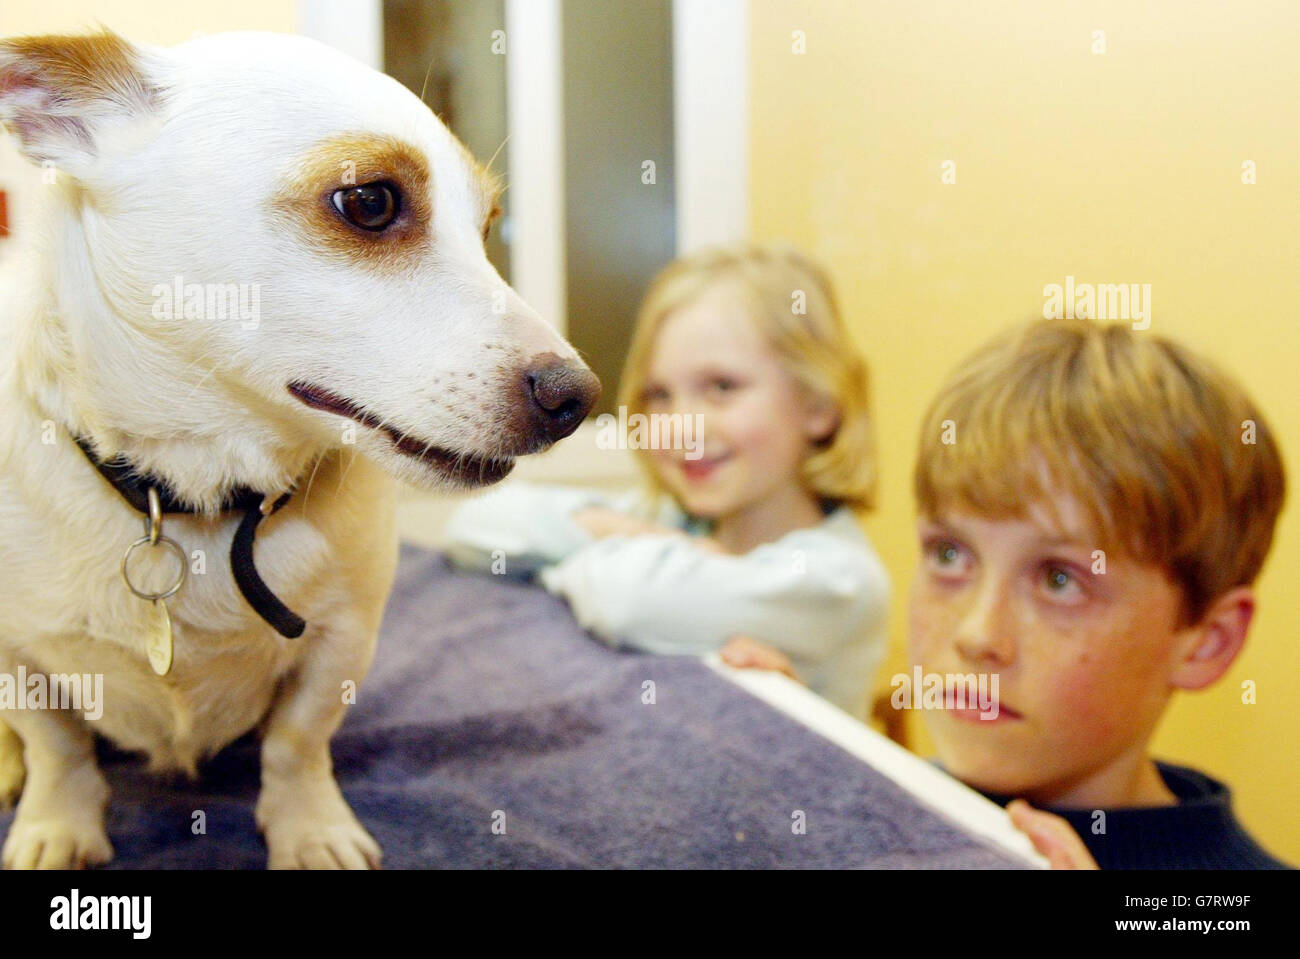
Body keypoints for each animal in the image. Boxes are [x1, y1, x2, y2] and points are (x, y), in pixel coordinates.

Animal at [0, 29, 598, 868]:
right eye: (370, 202)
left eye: (487, 228)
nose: (579, 398)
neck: (201, 501)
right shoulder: (17, 659)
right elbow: (57, 746)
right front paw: (58, 820)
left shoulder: (340, 644)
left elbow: (296, 741)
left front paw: (308, 826)